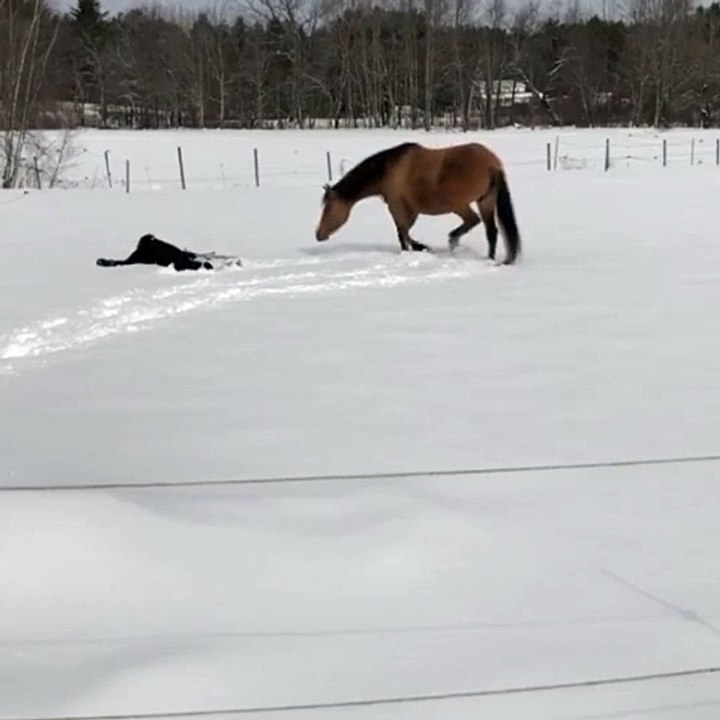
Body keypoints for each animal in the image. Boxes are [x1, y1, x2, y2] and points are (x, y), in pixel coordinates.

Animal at [315, 141, 521, 264]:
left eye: (328, 208)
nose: (318, 235)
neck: (388, 171)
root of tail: (491, 164)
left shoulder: (397, 207)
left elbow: (403, 234)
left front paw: (417, 249)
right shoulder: (411, 211)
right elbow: (405, 232)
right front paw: (420, 248)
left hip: (459, 205)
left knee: (473, 221)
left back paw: (453, 241)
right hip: (485, 201)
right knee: (491, 231)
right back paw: (489, 259)